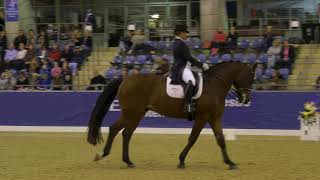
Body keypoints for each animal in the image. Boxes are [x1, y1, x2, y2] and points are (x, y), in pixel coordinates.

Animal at [86, 61, 256, 169]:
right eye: (250, 77)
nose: (246, 99)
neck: (214, 86)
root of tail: (126, 79)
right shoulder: (202, 117)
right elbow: (192, 139)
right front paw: (181, 161)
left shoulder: (214, 118)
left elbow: (221, 140)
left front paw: (230, 162)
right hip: (132, 113)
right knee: (122, 131)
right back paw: (111, 157)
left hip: (134, 113)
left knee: (120, 131)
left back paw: (119, 159)